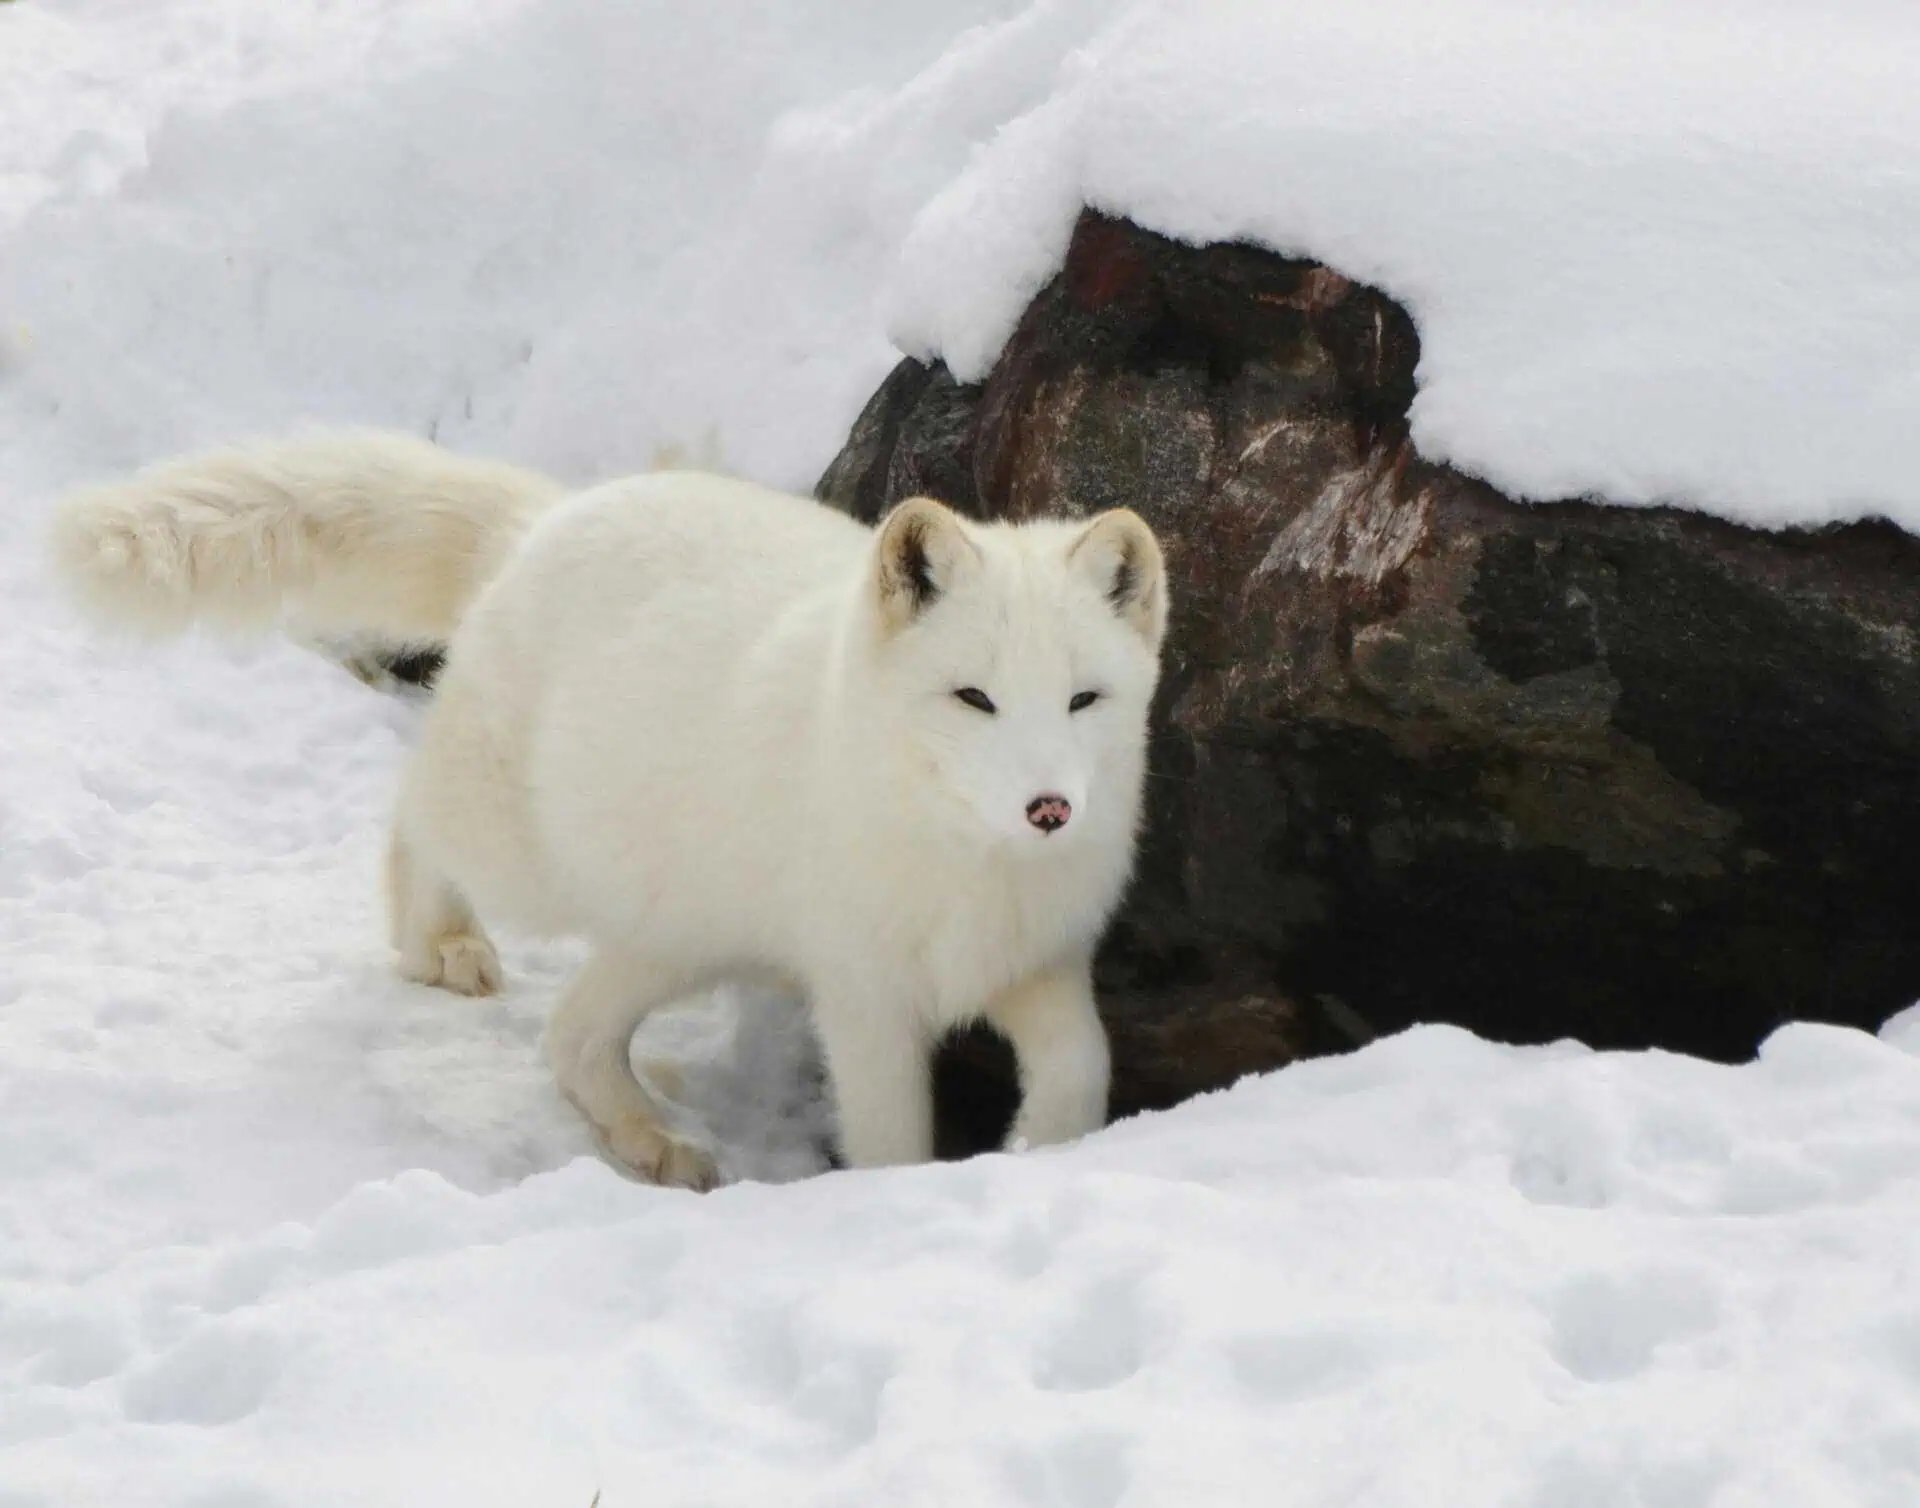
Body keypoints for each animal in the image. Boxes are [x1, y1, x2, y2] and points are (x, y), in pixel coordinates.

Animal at [49, 431, 1168, 1188]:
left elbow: (1084, 1066)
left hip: (677, 931)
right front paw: (900, 1199)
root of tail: (543, 524)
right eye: (973, 698)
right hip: (531, 861)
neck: (968, 865)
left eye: (1084, 699)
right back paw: (439, 941)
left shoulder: (1039, 962)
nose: (1050, 808)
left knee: (572, 1037)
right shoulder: (863, 995)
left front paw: (1043, 1149)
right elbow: (891, 1138)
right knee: (415, 817)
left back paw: (651, 1139)